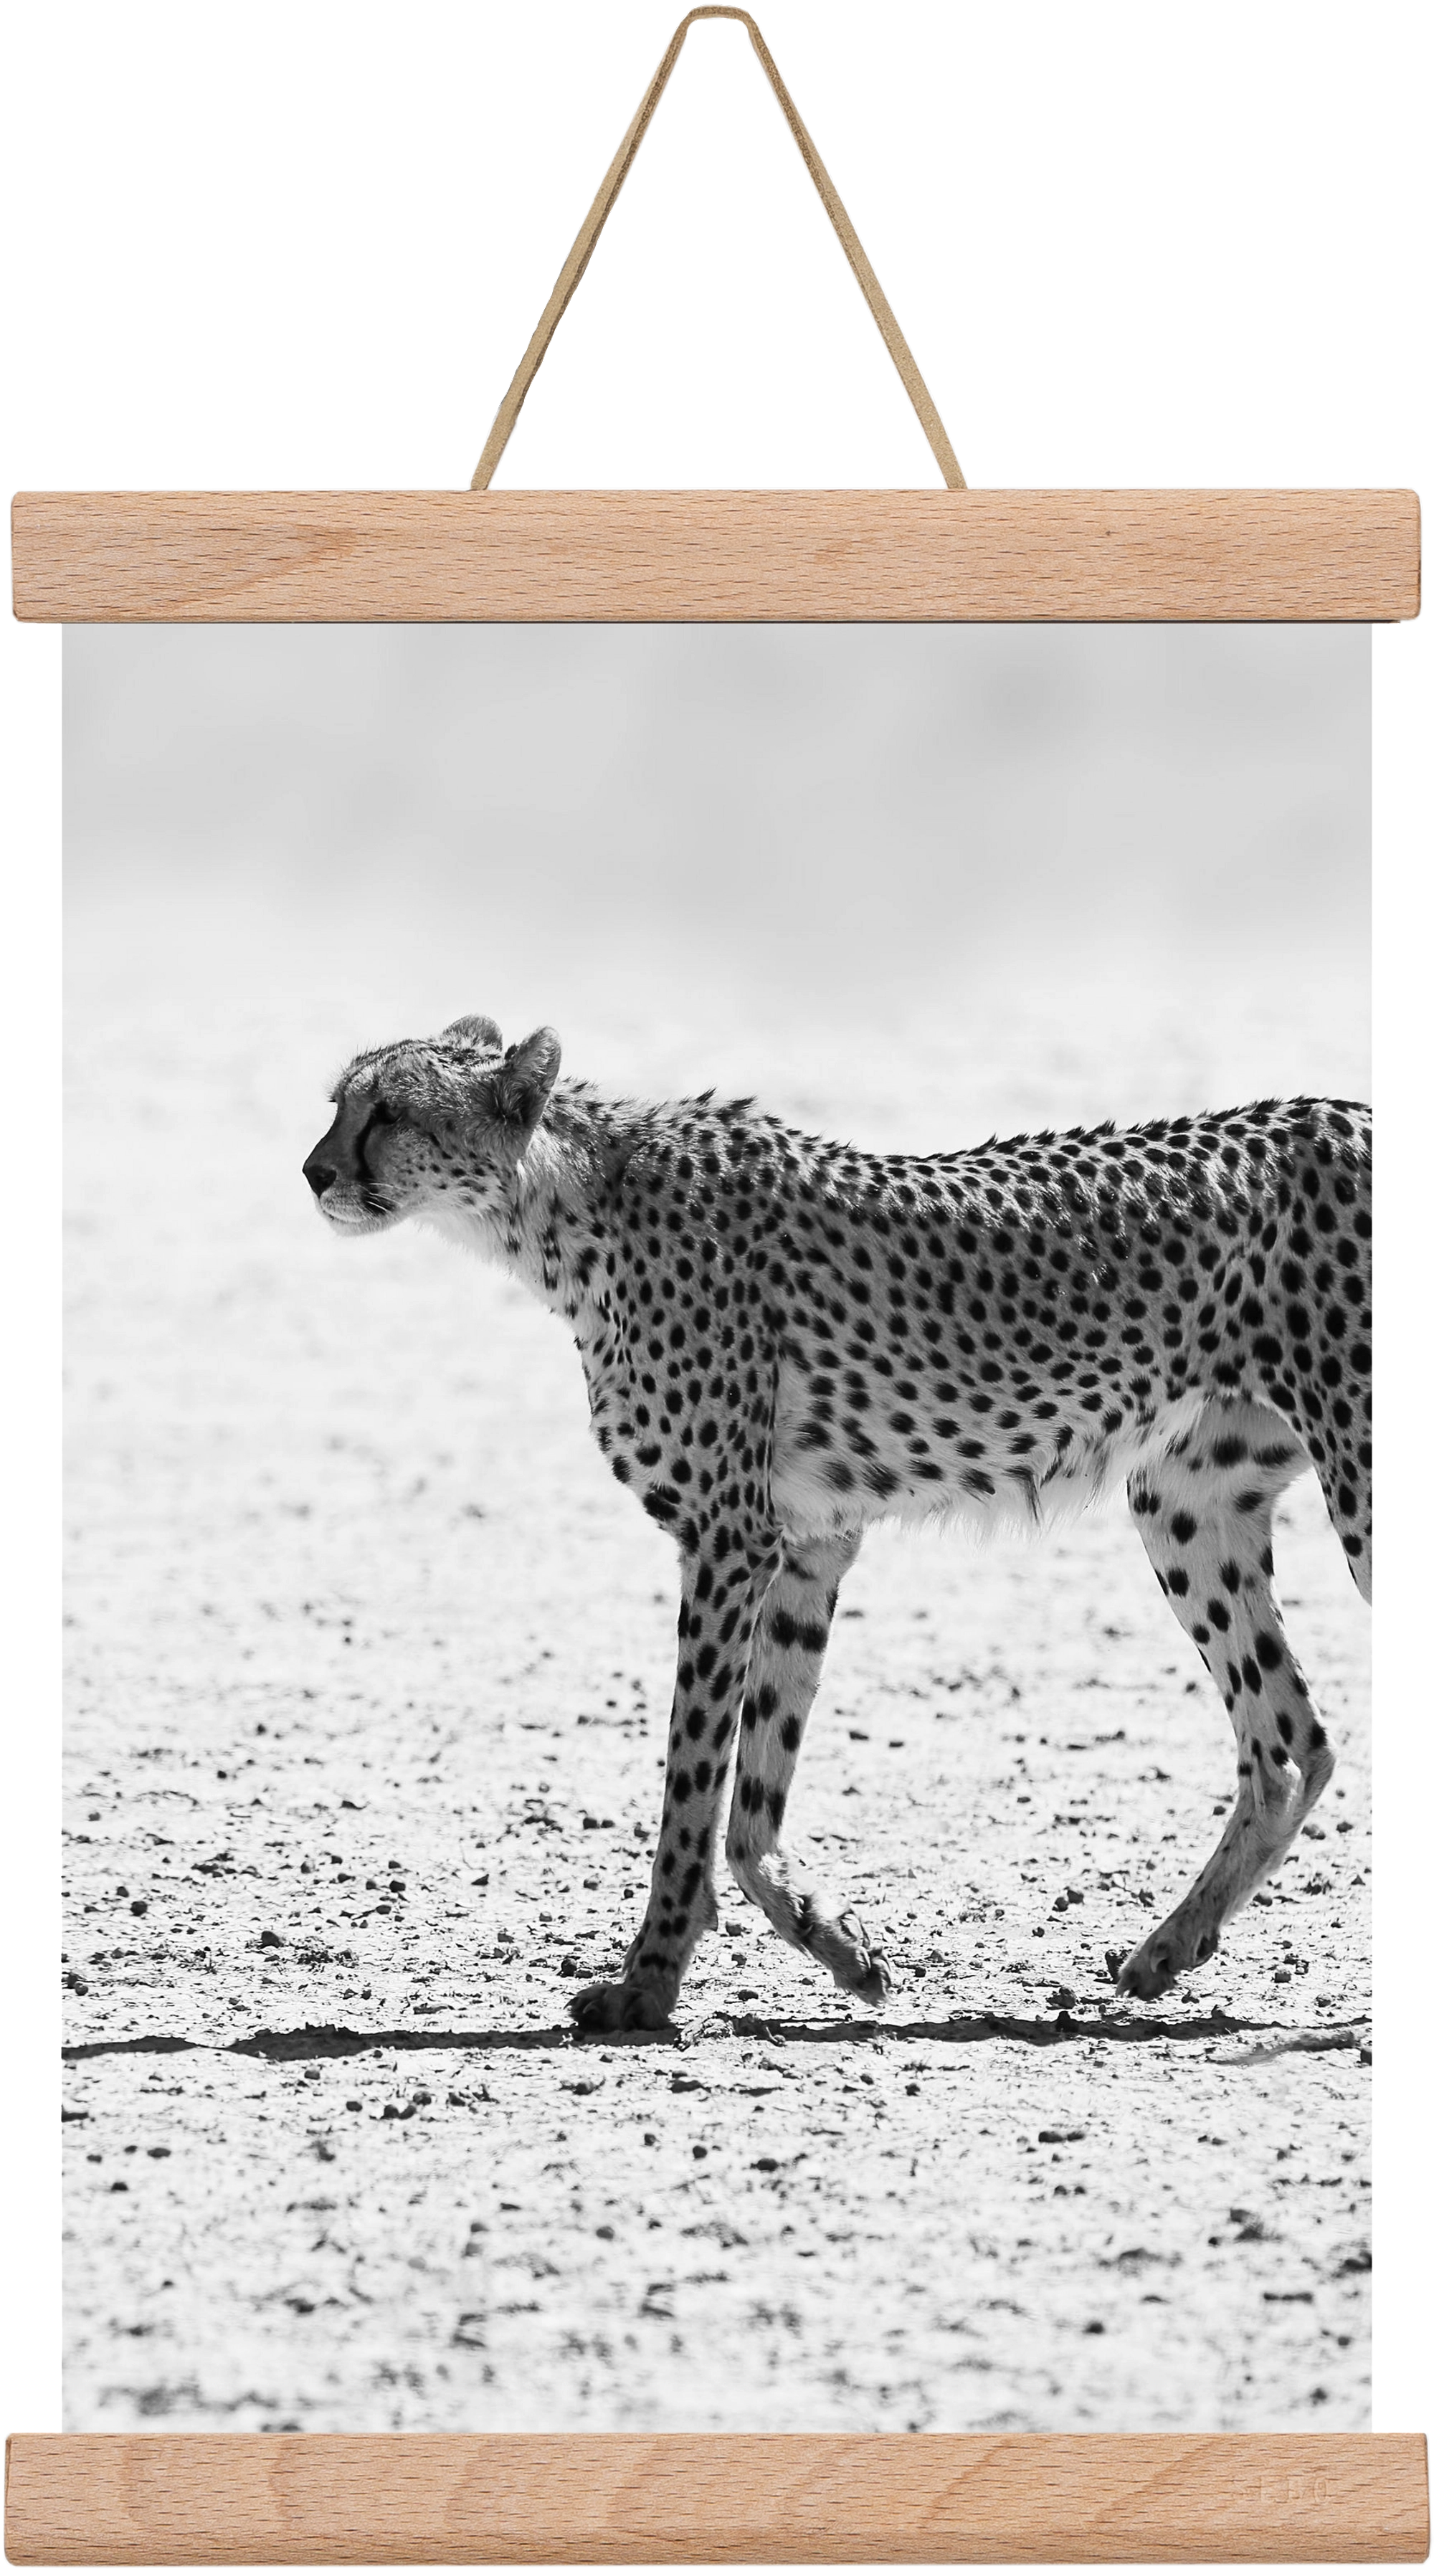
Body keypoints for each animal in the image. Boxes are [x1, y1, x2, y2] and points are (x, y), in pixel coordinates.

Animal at [303, 1014, 1373, 2033]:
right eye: (339, 1102)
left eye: (389, 1111)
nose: (314, 1171)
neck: (563, 1204)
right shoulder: (807, 1543)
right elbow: (752, 1797)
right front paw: (842, 1947)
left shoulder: (727, 1538)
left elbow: (692, 1782)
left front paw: (647, 1984)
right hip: (1185, 1502)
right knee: (1290, 1742)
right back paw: (1166, 1949)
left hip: (1353, 1483)